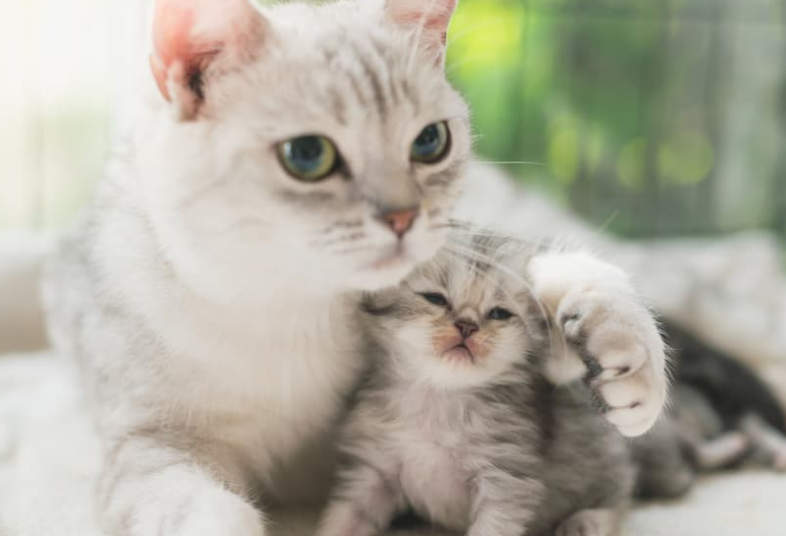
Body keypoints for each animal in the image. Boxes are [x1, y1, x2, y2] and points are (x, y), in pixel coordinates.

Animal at [316, 234, 652, 536]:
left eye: (499, 313)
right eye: (435, 298)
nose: (466, 326)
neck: (440, 396)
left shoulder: (505, 479)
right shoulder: (375, 469)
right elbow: (348, 518)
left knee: (617, 498)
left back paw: (587, 522)